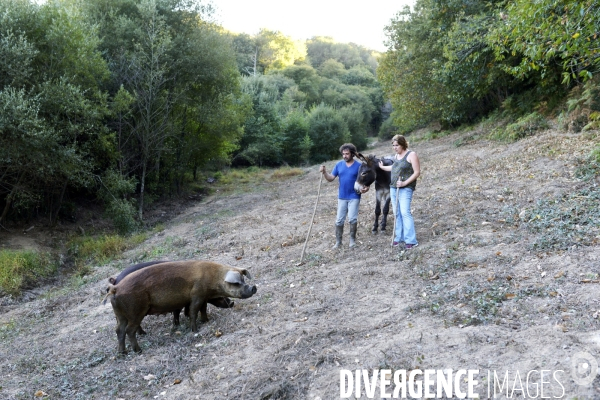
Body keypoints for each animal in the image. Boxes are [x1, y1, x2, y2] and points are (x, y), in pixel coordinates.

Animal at [105, 260, 255, 352]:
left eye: (244, 279)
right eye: (237, 283)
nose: (254, 287)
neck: (212, 278)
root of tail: (115, 288)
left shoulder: (201, 297)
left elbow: (202, 309)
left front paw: (206, 321)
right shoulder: (196, 295)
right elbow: (193, 312)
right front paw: (195, 330)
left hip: (121, 314)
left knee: (119, 330)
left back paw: (123, 353)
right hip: (135, 311)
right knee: (129, 330)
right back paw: (139, 350)